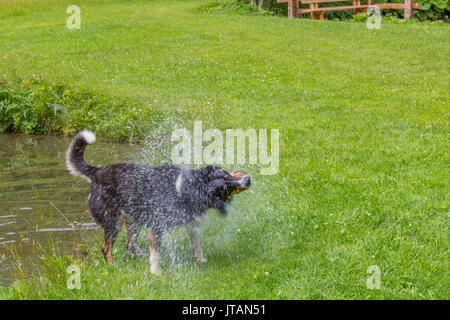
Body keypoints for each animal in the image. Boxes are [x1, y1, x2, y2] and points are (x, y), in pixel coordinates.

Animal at [66, 129, 250, 274]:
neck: (189, 187)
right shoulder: (156, 227)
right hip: (114, 221)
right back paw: (113, 267)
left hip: (134, 218)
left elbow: (196, 244)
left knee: (129, 243)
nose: (247, 180)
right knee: (106, 248)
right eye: (225, 187)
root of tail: (95, 173)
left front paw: (201, 259)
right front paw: (155, 273)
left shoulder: (190, 223)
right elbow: (156, 254)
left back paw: (140, 257)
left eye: (226, 174)